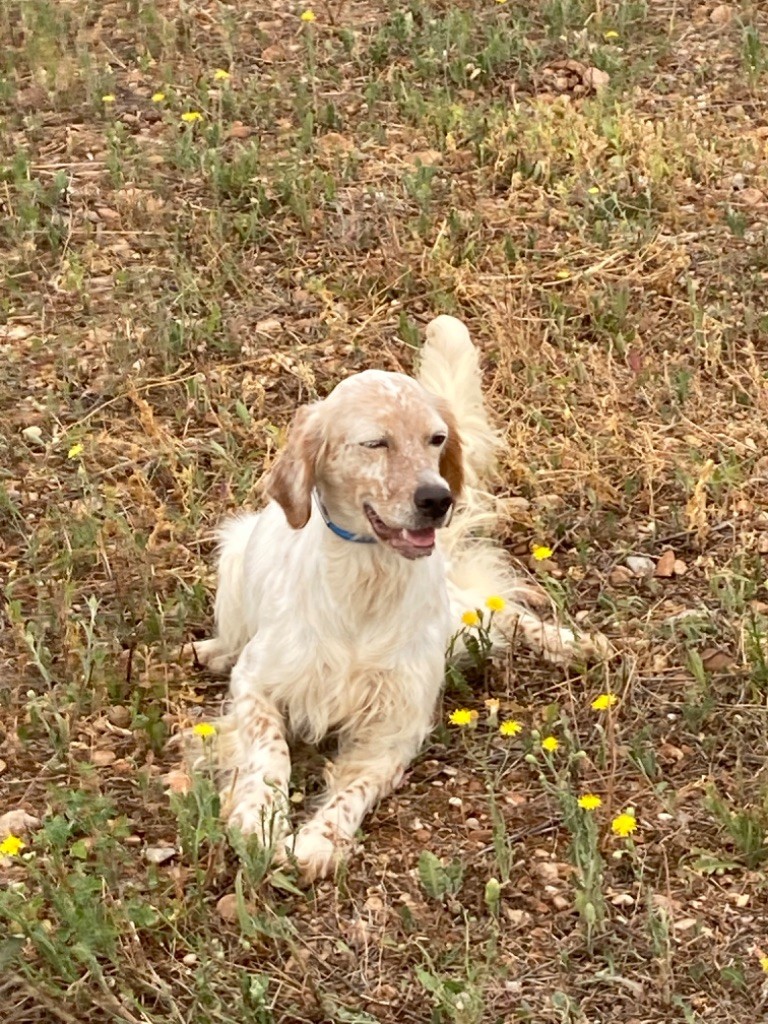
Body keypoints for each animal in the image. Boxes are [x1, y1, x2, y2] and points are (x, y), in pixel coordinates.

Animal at [189, 313, 606, 880]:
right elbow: (269, 752)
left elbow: (355, 788)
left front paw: (317, 841)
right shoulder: (257, 680)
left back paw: (575, 643)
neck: (367, 584)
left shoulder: (397, 723)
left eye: (436, 438)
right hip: (233, 556)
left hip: (461, 621)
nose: (437, 499)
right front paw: (259, 818)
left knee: (506, 617)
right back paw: (212, 650)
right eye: (375, 443)